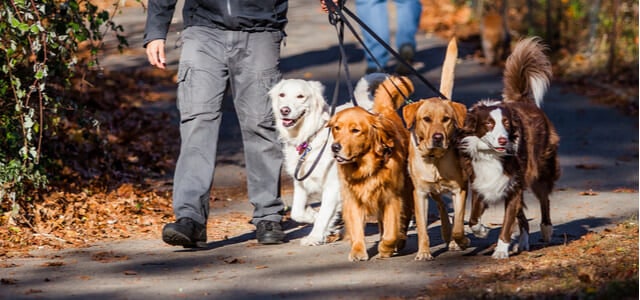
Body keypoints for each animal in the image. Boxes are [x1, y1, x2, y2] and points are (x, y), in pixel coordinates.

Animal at [268, 74, 384, 245]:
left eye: (300, 96)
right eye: (282, 95)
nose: (285, 110)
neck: (310, 137)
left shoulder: (333, 186)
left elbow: (324, 215)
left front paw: (314, 236)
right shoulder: (301, 182)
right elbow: (297, 212)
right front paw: (313, 216)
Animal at [330, 74, 416, 260]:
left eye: (355, 130)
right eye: (336, 128)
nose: (335, 147)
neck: (365, 167)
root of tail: (384, 111)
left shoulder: (392, 197)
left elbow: (391, 231)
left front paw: (386, 248)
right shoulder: (353, 198)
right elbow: (356, 227)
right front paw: (357, 250)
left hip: (406, 191)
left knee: (403, 219)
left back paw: (399, 241)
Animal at [402, 38, 468, 260]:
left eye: (446, 119)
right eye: (426, 119)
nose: (438, 137)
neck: (435, 159)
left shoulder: (460, 189)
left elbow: (459, 222)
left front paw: (461, 240)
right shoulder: (420, 194)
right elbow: (423, 228)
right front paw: (423, 252)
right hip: (433, 191)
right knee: (440, 205)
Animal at [460, 37, 560, 258]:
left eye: (506, 123)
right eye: (489, 124)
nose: (503, 141)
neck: (492, 156)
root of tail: (524, 101)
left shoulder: (513, 186)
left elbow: (507, 222)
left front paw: (500, 250)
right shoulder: (482, 183)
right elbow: (473, 218)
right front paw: (481, 230)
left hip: (539, 170)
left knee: (544, 199)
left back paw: (546, 229)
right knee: (523, 218)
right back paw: (522, 243)